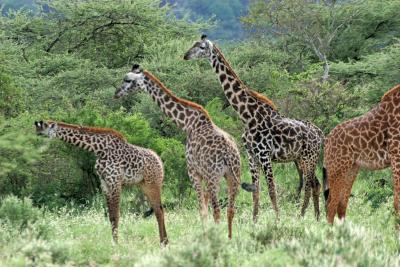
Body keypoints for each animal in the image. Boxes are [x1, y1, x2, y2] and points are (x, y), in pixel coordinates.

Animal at [32, 120, 167, 246]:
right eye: (37, 131)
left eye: (43, 129)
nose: (36, 136)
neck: (99, 149)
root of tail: (160, 161)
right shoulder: (104, 183)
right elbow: (111, 216)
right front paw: (113, 242)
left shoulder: (115, 181)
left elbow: (116, 215)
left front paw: (116, 244)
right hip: (144, 185)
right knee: (158, 209)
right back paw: (165, 241)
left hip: (153, 184)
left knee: (159, 211)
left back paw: (163, 243)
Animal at [324, 85, 400, 225]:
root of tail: (326, 141)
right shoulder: (396, 155)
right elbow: (397, 202)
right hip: (336, 169)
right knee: (331, 204)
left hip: (351, 168)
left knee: (341, 205)